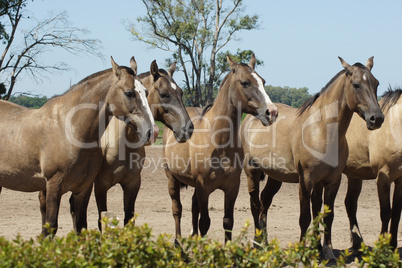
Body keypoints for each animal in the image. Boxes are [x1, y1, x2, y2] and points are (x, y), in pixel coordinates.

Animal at [0, 57, 155, 237]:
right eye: (129, 93)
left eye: (146, 92)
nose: (151, 132)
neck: (70, 130)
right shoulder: (54, 185)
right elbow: (51, 226)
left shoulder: (83, 188)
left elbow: (81, 226)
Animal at [162, 54, 278, 241]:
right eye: (245, 82)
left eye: (263, 81)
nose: (272, 112)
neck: (218, 143)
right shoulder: (204, 188)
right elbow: (204, 223)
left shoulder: (231, 188)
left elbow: (228, 222)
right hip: (172, 178)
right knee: (177, 210)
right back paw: (178, 241)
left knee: (193, 207)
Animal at [240, 57, 384, 260]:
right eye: (356, 84)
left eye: (376, 83)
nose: (376, 118)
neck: (322, 130)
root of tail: (251, 118)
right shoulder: (306, 181)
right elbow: (305, 217)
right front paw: (303, 251)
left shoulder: (331, 181)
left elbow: (325, 215)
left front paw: (325, 250)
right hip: (252, 172)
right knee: (254, 204)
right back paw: (257, 244)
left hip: (276, 177)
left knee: (264, 202)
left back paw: (266, 243)